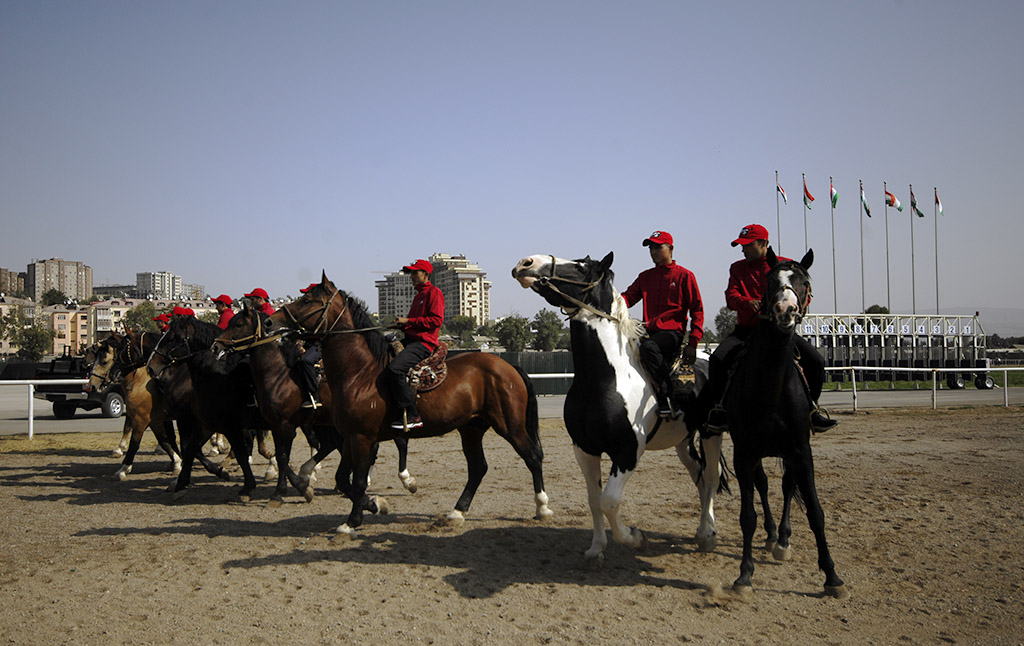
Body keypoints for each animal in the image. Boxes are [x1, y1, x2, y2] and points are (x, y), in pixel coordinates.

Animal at [211, 305, 418, 500]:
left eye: (238, 324)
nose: (216, 347)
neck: (279, 376)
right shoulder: (277, 424)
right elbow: (280, 454)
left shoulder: (285, 426)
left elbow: (282, 456)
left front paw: (284, 489)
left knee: (397, 441)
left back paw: (405, 480)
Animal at [266, 274, 552, 535]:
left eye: (307, 300)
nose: (270, 321)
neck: (361, 373)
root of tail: (508, 366)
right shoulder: (350, 437)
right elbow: (344, 480)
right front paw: (375, 504)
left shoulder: (361, 438)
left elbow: (356, 482)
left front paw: (352, 522)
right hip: (471, 429)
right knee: (478, 468)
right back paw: (456, 512)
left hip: (510, 426)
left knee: (533, 457)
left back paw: (542, 508)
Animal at [513, 252, 775, 566]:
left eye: (581, 266)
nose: (526, 263)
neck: (605, 379)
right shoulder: (584, 450)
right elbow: (594, 500)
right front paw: (596, 548)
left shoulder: (627, 452)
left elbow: (609, 501)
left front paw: (635, 538)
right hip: (684, 441)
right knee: (699, 475)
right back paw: (702, 531)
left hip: (711, 432)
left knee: (711, 476)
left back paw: (708, 534)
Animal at [725, 248, 847, 598]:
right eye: (770, 282)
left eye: (804, 282)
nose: (784, 310)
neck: (771, 386)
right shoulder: (744, 453)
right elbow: (748, 516)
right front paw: (744, 575)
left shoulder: (801, 451)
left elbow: (816, 512)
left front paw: (832, 576)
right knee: (765, 485)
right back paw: (771, 537)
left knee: (787, 484)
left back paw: (782, 539)